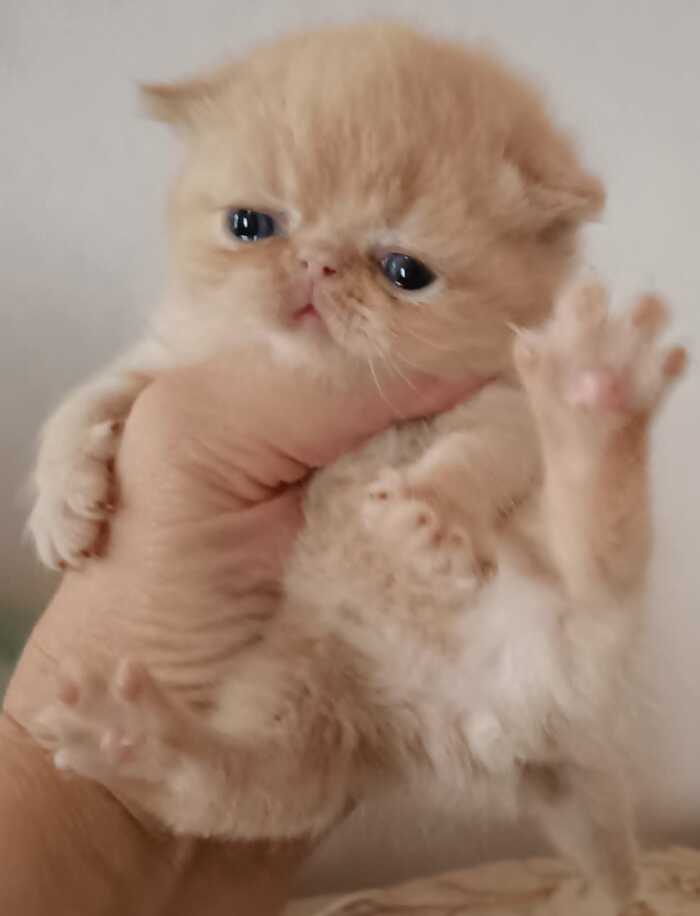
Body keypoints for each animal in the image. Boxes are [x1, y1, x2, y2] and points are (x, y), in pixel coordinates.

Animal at [26, 22, 685, 915]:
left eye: (406, 272)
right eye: (251, 224)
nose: (315, 263)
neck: (322, 377)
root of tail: (485, 725)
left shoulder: (505, 399)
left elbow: (479, 455)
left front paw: (429, 514)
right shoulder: (171, 363)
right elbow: (84, 402)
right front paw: (62, 504)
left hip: (562, 596)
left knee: (596, 555)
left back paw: (595, 395)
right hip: (306, 713)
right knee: (227, 786)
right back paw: (134, 739)